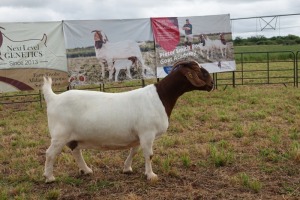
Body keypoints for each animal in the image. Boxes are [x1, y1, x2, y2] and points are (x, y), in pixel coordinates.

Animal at [42, 59, 213, 183]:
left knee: (76, 150)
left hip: (72, 136)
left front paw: (127, 169)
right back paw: (49, 177)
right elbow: (149, 154)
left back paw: (87, 170)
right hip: (60, 135)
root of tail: (53, 98)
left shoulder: (140, 135)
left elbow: (134, 151)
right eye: (201, 71)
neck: (160, 96)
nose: (211, 84)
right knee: (50, 153)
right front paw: (151, 175)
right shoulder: (147, 133)